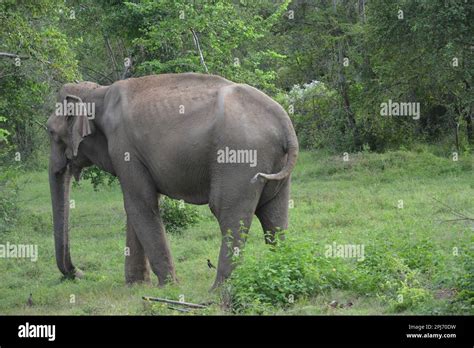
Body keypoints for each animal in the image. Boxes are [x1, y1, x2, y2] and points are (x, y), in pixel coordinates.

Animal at [46, 72, 298, 286]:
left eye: (49, 131)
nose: (79, 273)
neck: (98, 92)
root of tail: (283, 121)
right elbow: (135, 206)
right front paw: (137, 285)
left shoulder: (124, 148)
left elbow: (140, 203)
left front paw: (169, 287)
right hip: (274, 166)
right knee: (274, 215)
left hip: (239, 158)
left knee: (227, 212)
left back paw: (219, 290)